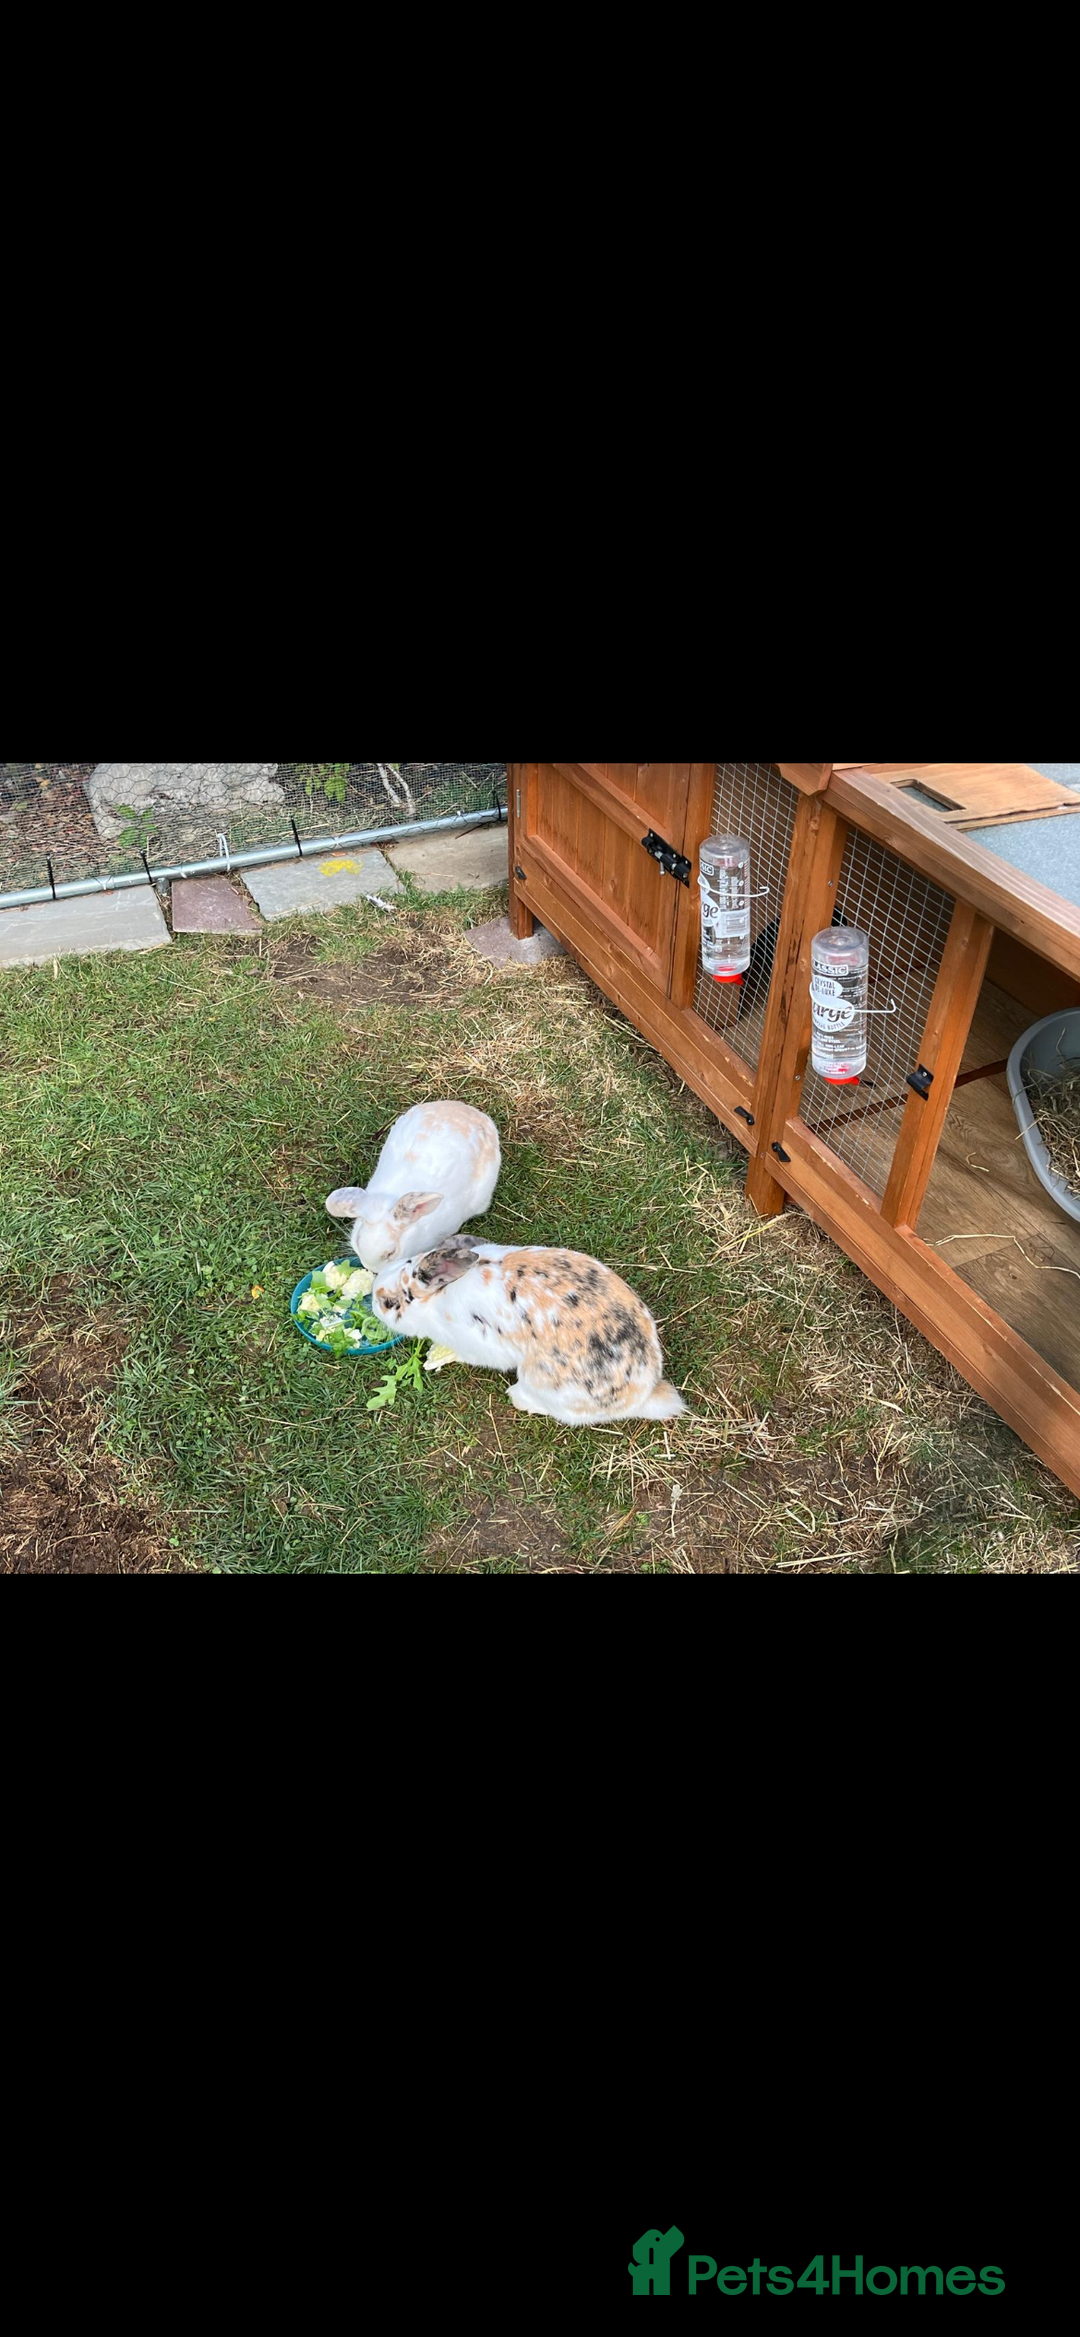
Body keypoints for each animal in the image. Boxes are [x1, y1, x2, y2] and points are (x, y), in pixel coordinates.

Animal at [370, 1236, 686, 1426]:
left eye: (390, 1303)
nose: (373, 1299)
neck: (437, 1300)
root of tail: (643, 1395)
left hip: (540, 1380)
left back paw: (518, 1398)